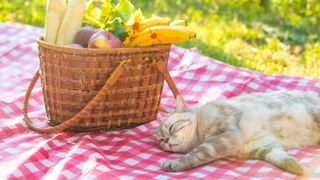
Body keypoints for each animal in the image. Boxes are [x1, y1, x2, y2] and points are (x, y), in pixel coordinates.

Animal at [158, 90, 320, 175]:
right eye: (160, 140)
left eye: (171, 127)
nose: (166, 140)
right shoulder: (263, 146)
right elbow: (278, 157)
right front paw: (296, 167)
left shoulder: (225, 136)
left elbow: (195, 154)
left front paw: (173, 164)